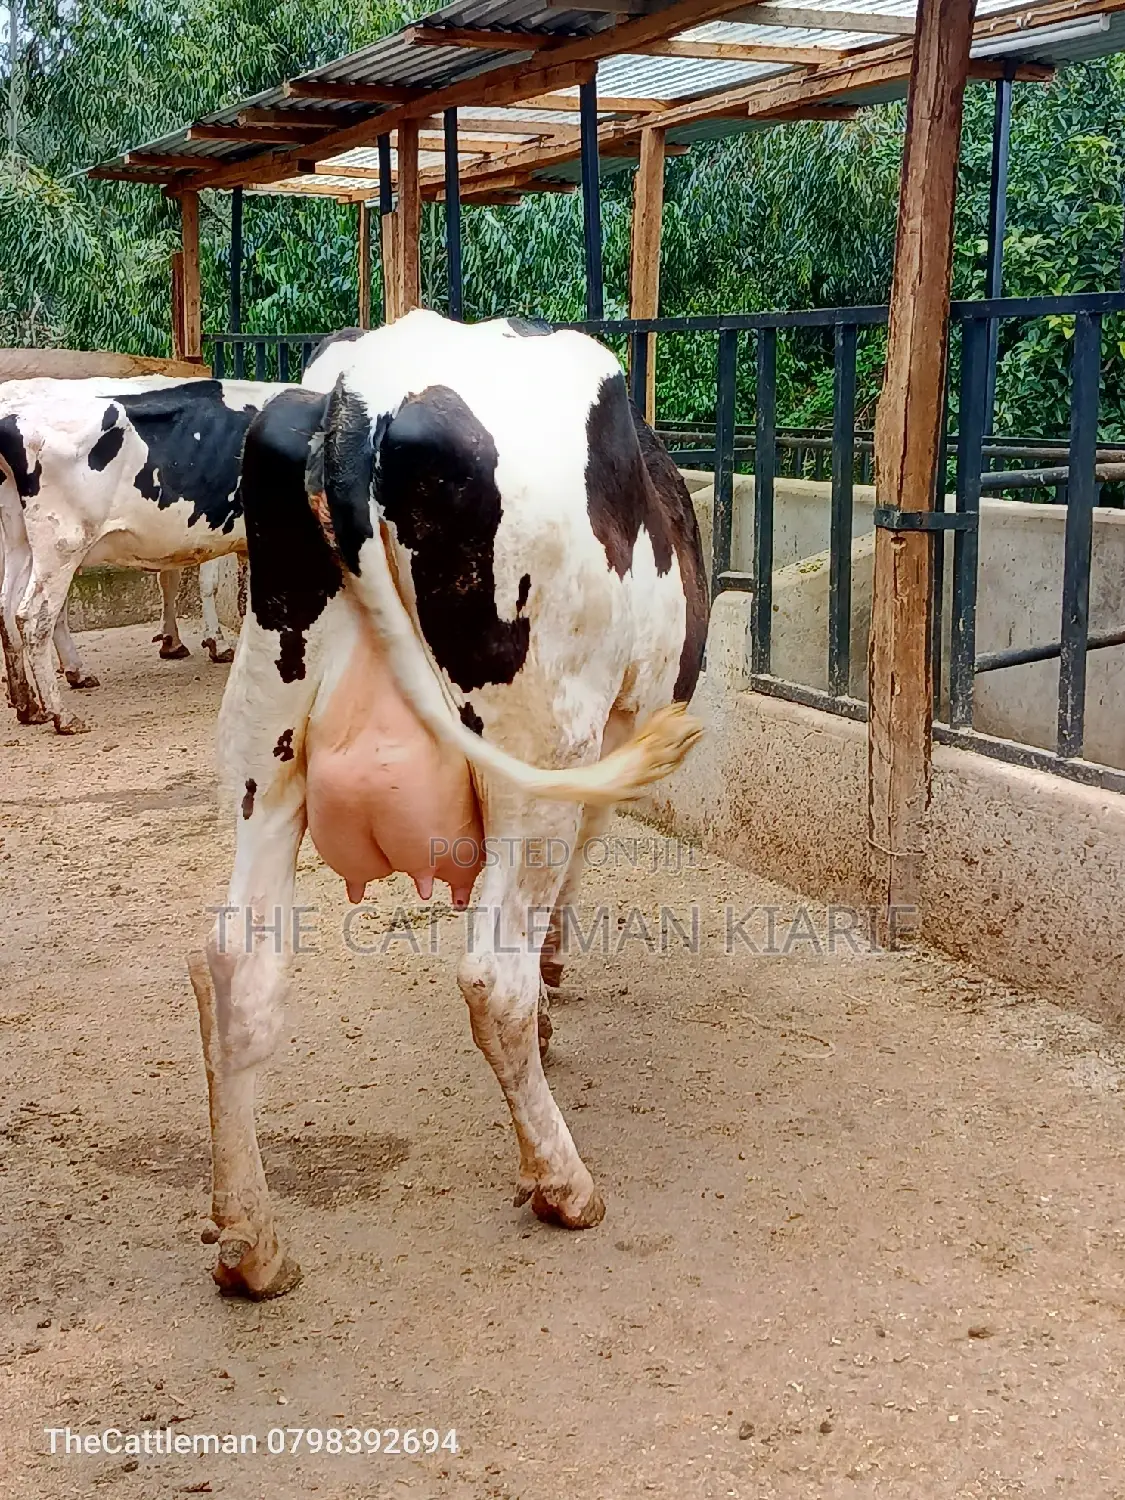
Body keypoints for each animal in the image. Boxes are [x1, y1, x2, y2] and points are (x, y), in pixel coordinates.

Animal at [0, 375, 291, 732]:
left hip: (21, 541)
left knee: (7, 607)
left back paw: (28, 704)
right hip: (63, 543)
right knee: (34, 616)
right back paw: (61, 712)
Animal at [187, 309, 709, 1299]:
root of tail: (360, 395)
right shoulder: (605, 751)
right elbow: (554, 907)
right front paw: (551, 999)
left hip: (260, 740)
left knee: (237, 963)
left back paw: (251, 1245)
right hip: (538, 748)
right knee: (488, 977)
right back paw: (563, 1184)